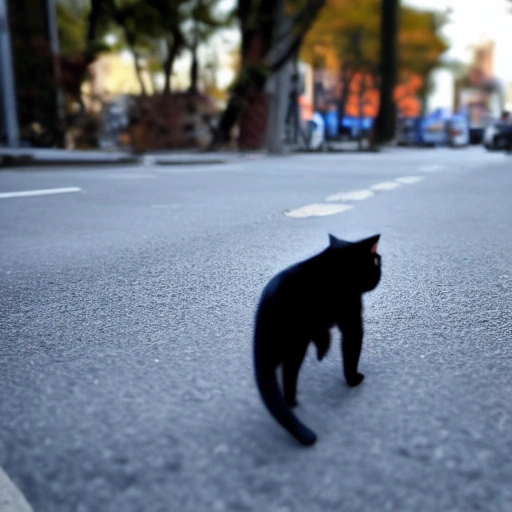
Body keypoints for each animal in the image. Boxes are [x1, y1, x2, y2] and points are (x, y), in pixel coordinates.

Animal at [254, 234, 382, 446]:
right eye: (376, 261)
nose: (381, 270)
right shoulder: (352, 320)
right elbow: (351, 352)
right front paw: (354, 380)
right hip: (297, 343)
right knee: (289, 373)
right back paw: (293, 401)